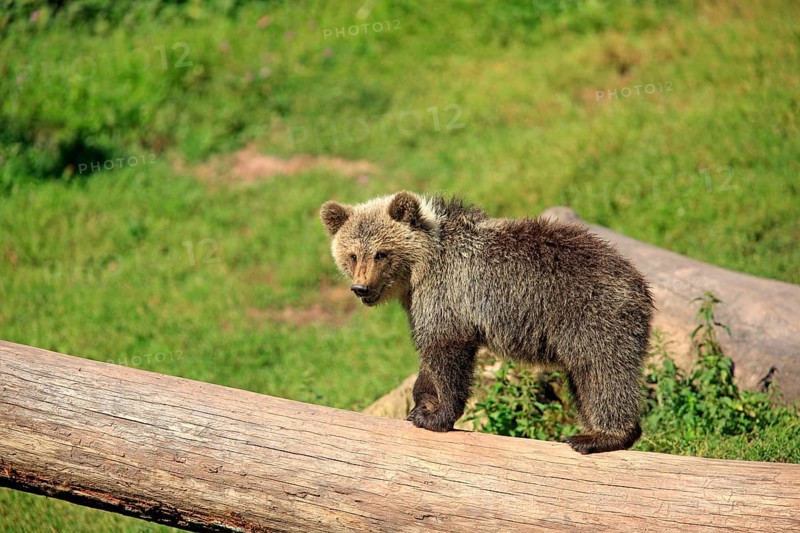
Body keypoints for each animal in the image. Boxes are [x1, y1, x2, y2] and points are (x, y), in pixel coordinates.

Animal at [320, 191, 653, 454]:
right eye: (352, 255)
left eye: (381, 253)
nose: (361, 288)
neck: (420, 268)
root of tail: (640, 283)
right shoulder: (420, 302)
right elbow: (427, 356)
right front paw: (420, 403)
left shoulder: (447, 293)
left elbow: (446, 351)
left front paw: (436, 416)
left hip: (592, 315)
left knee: (602, 372)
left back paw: (600, 436)